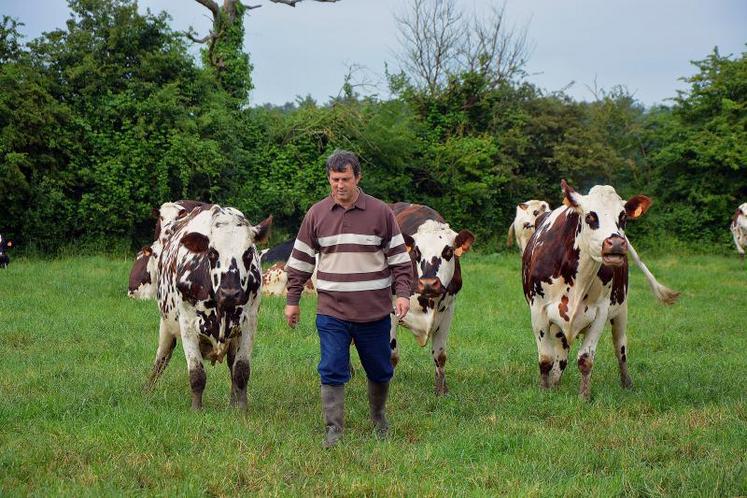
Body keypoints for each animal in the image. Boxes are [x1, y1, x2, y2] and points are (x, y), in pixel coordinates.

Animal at [146, 204, 272, 410]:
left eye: (248, 253)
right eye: (212, 252)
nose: (230, 293)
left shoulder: (249, 323)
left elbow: (241, 371)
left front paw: (241, 408)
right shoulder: (188, 325)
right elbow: (197, 374)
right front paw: (196, 409)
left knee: (231, 364)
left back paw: (232, 402)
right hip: (166, 326)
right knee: (161, 359)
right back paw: (146, 392)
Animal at [388, 200, 476, 394]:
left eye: (448, 251)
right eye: (416, 252)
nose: (428, 283)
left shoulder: (448, 309)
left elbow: (440, 355)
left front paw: (441, 391)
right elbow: (391, 355)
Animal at [524, 181, 680, 398]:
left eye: (623, 217)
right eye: (590, 215)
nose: (616, 242)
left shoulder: (601, 311)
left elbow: (586, 359)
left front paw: (584, 396)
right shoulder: (538, 309)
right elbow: (546, 358)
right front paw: (544, 391)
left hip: (621, 309)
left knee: (620, 348)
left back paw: (626, 383)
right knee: (561, 355)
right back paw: (555, 383)